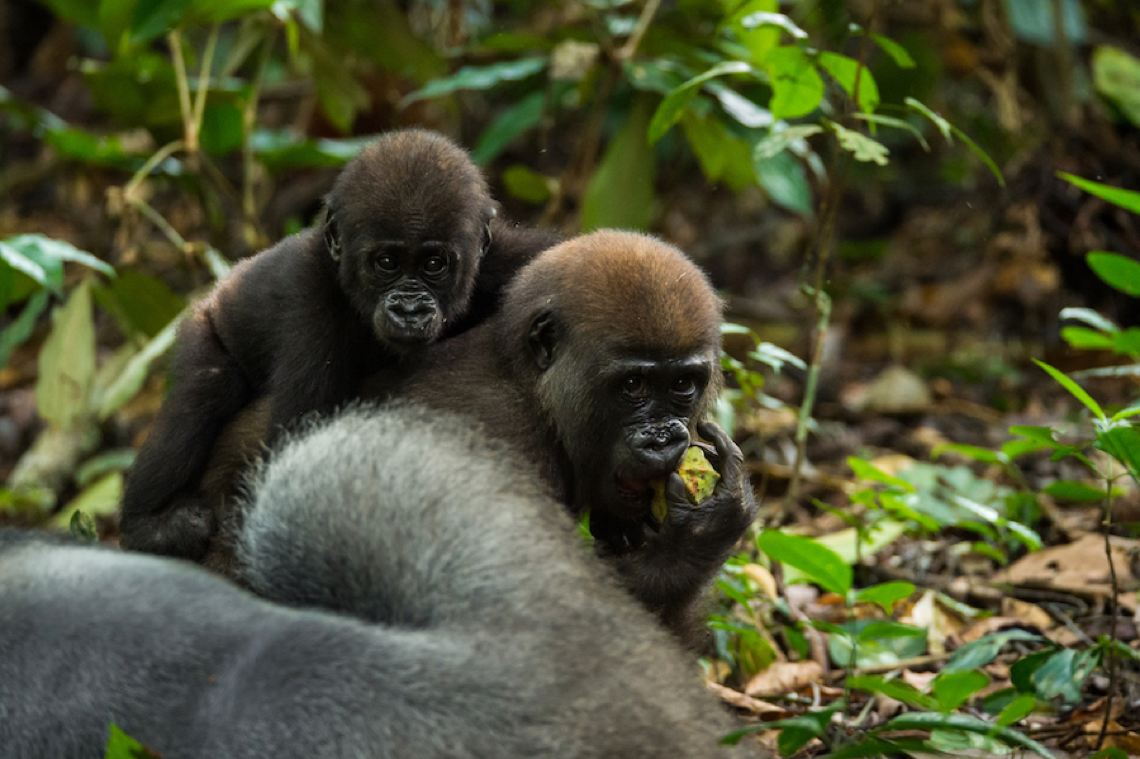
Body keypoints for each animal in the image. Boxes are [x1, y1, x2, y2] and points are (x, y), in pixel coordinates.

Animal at [117, 127, 558, 558]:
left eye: (434, 265)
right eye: (386, 263)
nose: (410, 309)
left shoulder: (502, 258)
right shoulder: (311, 303)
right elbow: (297, 446)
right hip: (203, 324)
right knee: (206, 389)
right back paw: (146, 527)